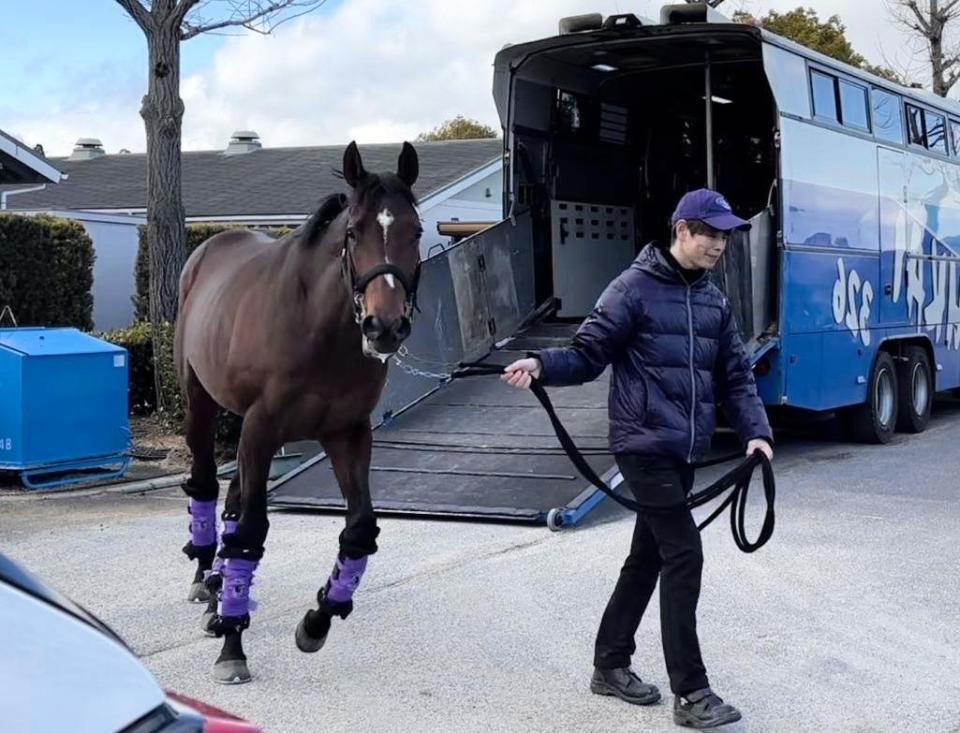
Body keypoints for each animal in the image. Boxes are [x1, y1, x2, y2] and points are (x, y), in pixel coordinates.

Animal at [174, 142, 422, 680]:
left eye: (415, 230)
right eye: (353, 232)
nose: (385, 326)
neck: (316, 326)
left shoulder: (347, 433)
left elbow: (359, 530)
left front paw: (318, 619)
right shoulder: (262, 429)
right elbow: (251, 532)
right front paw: (233, 646)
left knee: (232, 498)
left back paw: (220, 593)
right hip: (202, 406)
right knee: (207, 486)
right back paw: (209, 582)